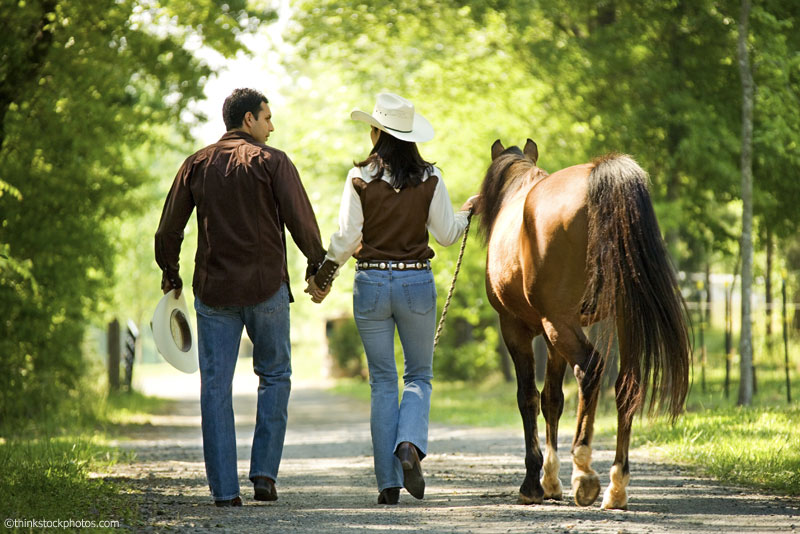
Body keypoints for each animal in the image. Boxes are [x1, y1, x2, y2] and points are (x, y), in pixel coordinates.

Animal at [478, 138, 692, 510]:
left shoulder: (516, 327)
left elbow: (528, 397)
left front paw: (533, 484)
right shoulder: (552, 337)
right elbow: (552, 398)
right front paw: (550, 481)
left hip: (560, 323)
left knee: (590, 369)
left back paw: (584, 473)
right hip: (620, 317)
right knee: (626, 384)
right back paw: (616, 486)